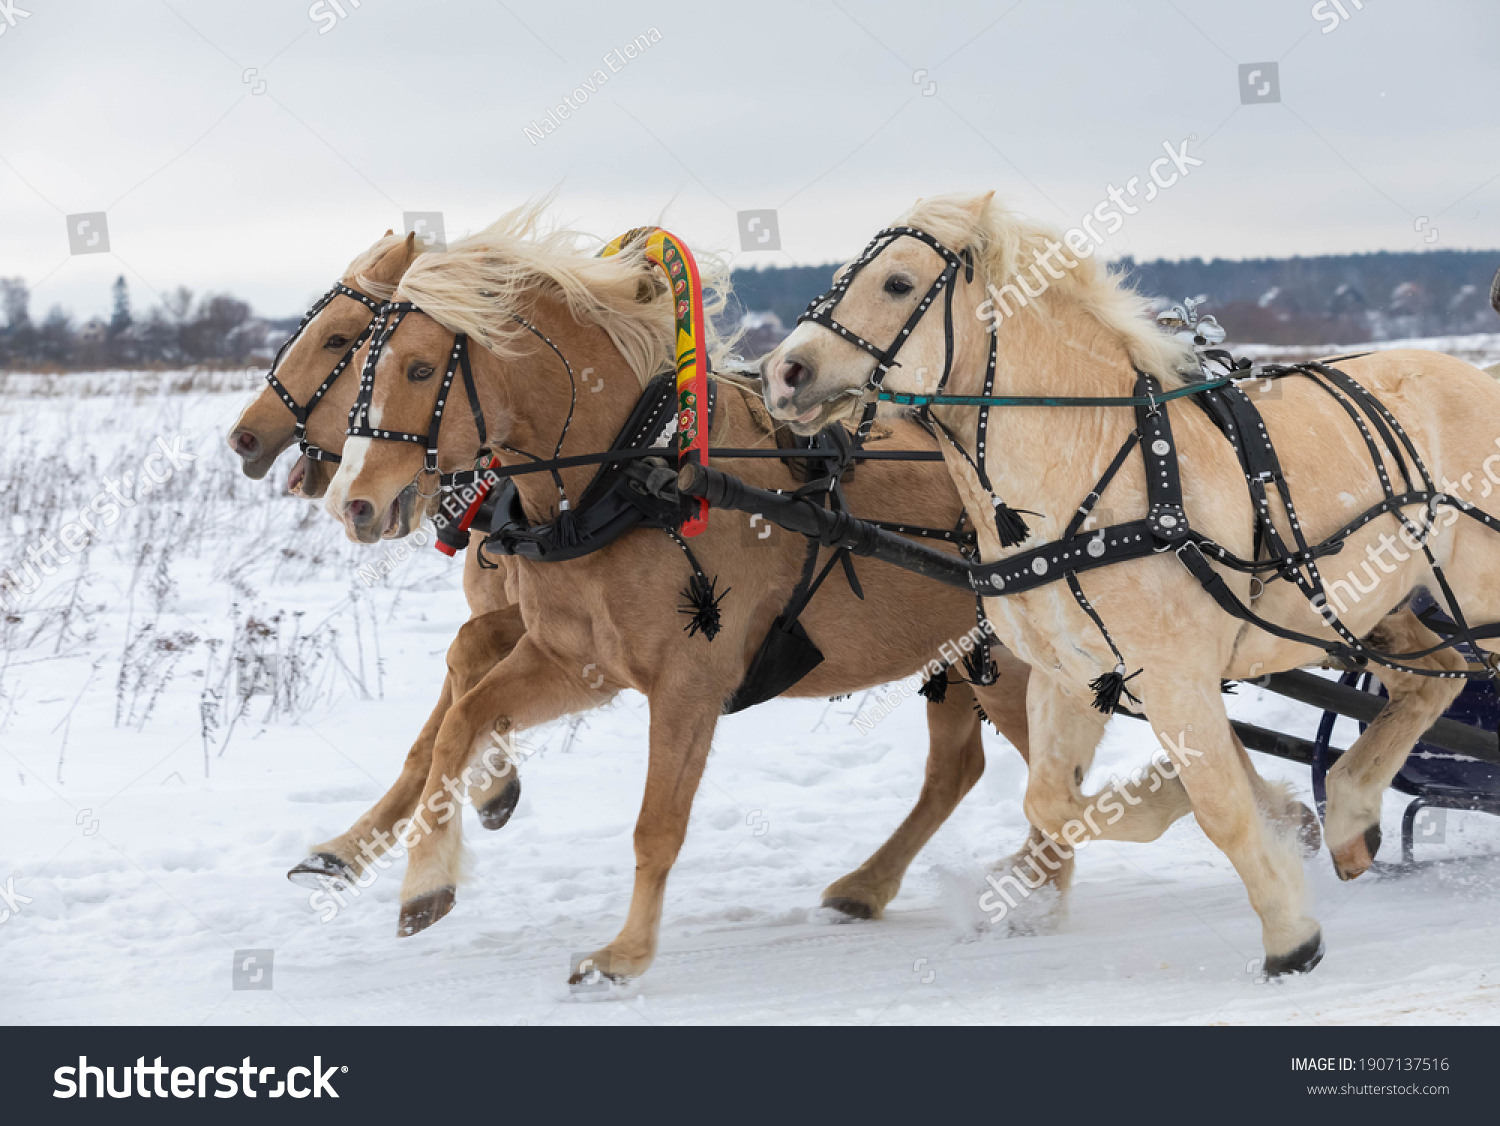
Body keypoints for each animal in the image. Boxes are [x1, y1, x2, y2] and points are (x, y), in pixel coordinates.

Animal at [316, 206, 1176, 983]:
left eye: (418, 370)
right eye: (360, 363)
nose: (352, 502)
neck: (636, 475)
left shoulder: (689, 682)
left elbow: (656, 826)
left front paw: (624, 955)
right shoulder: (577, 664)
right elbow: (462, 720)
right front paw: (426, 880)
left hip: (1014, 667)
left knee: (1051, 784)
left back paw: (1044, 891)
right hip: (964, 661)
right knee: (964, 772)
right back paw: (877, 886)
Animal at [768, 189, 1500, 971]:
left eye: (898, 284)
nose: (783, 372)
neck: (1087, 471)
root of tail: (1474, 377)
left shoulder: (1176, 678)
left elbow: (1221, 808)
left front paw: (1288, 935)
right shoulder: (1071, 675)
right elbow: (1052, 800)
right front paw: (1173, 796)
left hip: (1470, 595)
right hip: (1364, 610)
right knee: (1434, 679)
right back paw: (1353, 814)